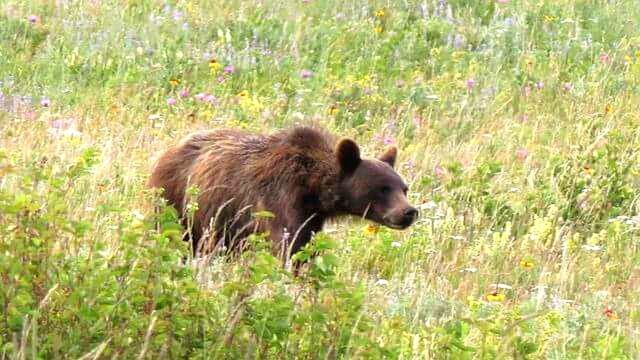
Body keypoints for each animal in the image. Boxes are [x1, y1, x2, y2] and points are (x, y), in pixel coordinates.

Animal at [150, 128, 420, 260]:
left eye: (404, 188)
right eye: (382, 188)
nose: (409, 212)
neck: (313, 191)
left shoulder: (312, 219)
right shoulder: (277, 204)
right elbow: (287, 247)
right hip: (176, 201)